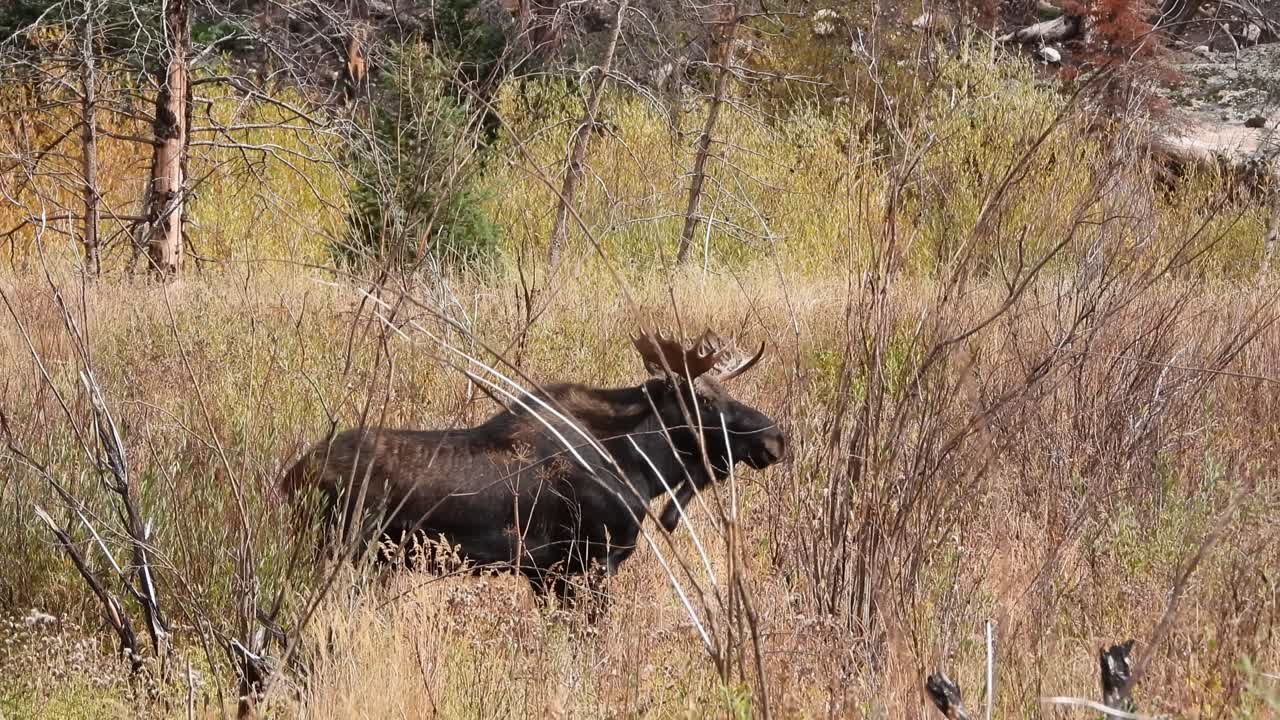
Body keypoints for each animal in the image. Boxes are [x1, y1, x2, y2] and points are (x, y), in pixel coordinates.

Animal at [281, 329, 786, 611]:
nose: (776, 438)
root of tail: (292, 477)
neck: (638, 464)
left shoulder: (543, 573)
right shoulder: (586, 565)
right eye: (705, 400)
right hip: (342, 550)